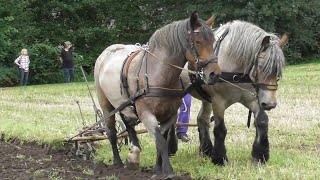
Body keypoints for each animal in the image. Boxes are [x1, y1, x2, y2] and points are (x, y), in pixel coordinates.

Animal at [94, 13, 221, 179]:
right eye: (198, 42)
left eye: (213, 42)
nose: (214, 74)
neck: (159, 74)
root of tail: (108, 52)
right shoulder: (146, 114)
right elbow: (160, 141)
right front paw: (169, 171)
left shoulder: (170, 115)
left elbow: (162, 140)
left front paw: (157, 169)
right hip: (106, 105)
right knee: (112, 133)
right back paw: (118, 162)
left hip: (125, 105)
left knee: (129, 125)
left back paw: (134, 155)